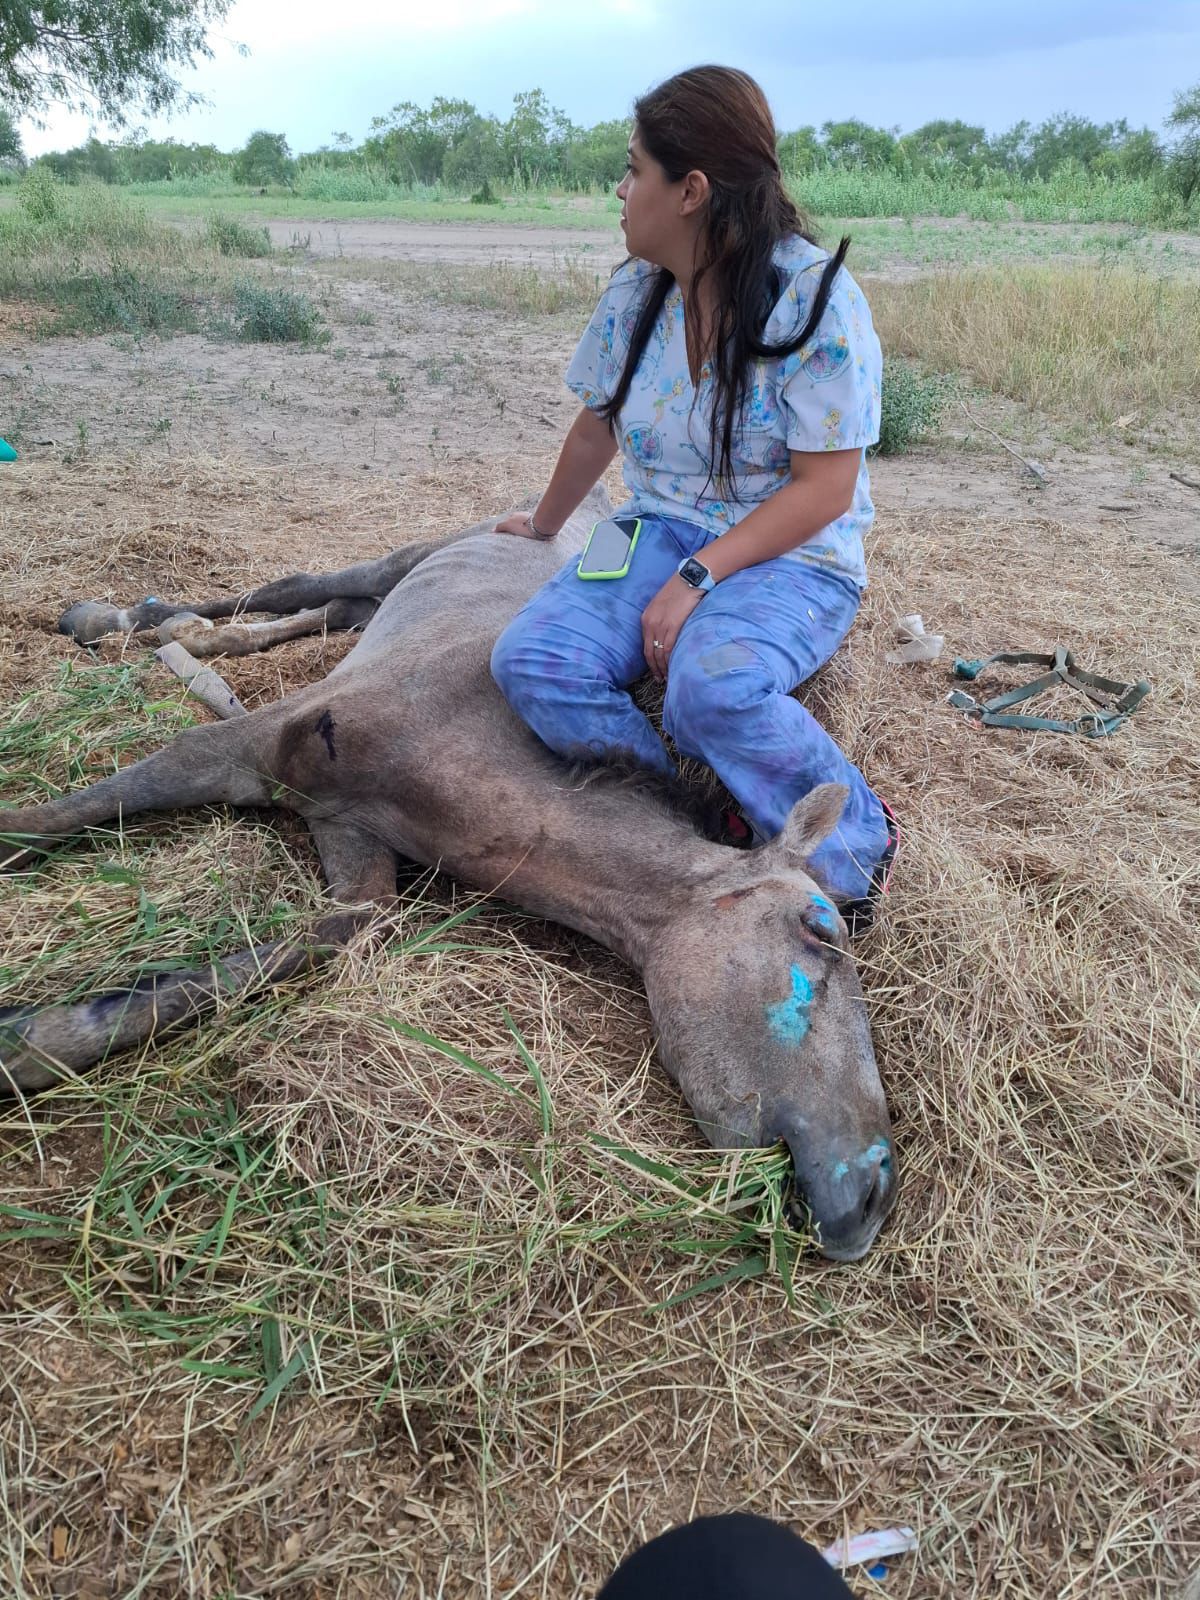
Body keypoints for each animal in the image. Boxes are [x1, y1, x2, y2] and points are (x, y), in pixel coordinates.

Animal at [0, 486, 896, 1260]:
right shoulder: (242, 748)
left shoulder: (353, 851)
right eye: (820, 928)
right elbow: (59, 820)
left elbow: (281, 958)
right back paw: (123, 620)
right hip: (410, 555)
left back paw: (187, 640)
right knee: (302, 589)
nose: (874, 1193)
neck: (456, 743)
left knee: (330, 613)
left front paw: (36, 1039)